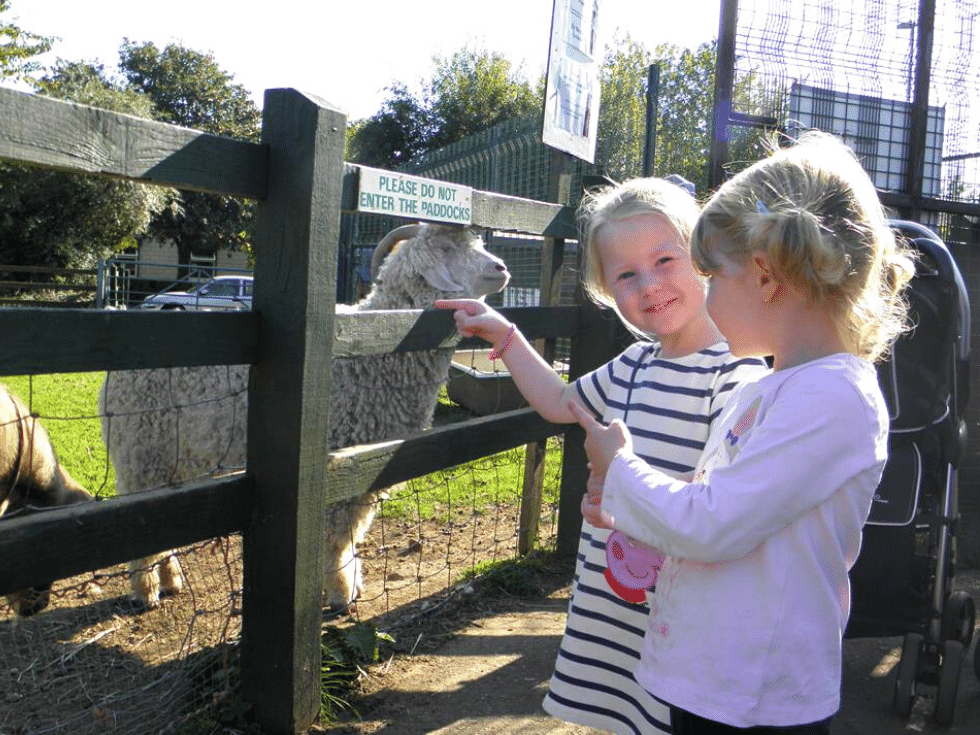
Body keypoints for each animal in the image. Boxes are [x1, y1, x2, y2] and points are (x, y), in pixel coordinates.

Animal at [100, 221, 510, 612]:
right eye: (446, 249)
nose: (501, 268)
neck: (380, 340)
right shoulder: (339, 465)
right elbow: (337, 539)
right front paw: (341, 594)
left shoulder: (366, 467)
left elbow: (350, 535)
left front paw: (352, 585)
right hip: (141, 452)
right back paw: (145, 591)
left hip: (168, 459)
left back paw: (170, 581)